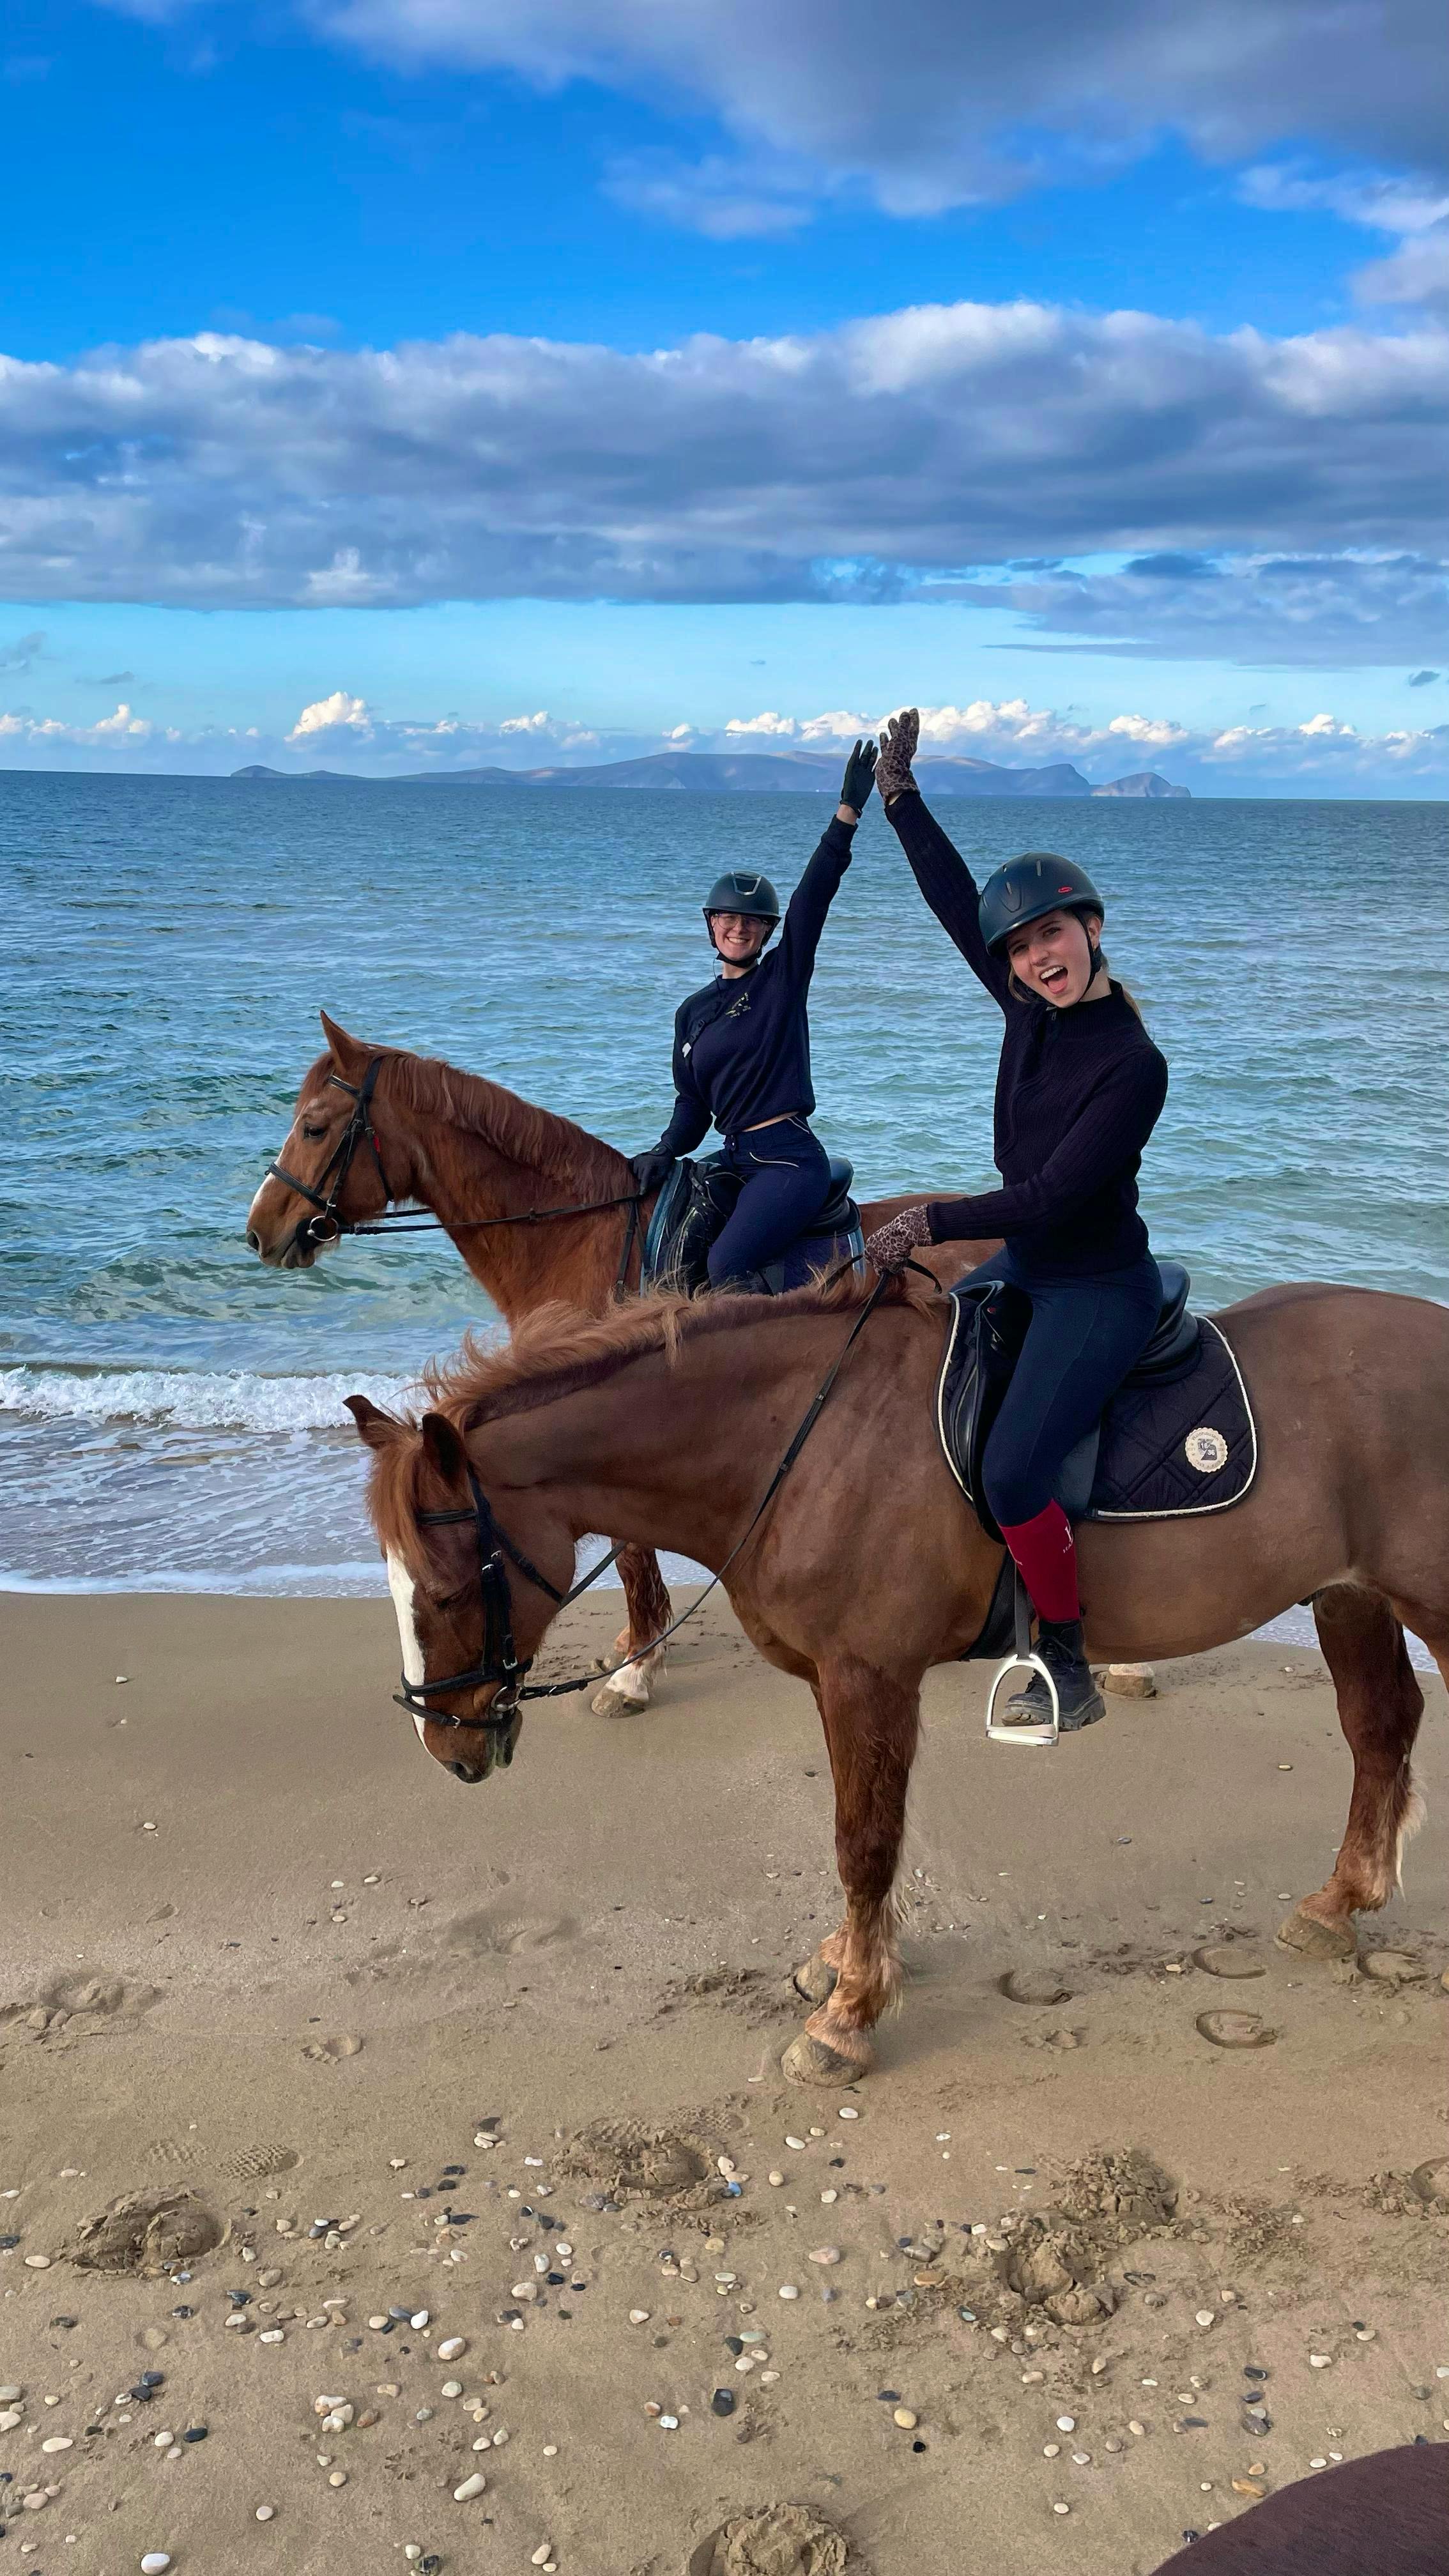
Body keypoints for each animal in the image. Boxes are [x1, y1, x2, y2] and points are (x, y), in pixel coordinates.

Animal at [246, 1012, 999, 1715]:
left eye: (314, 1127)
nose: (259, 1230)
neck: (579, 1235)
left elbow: (632, 1549)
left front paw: (637, 1670)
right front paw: (636, 1646)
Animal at [344, 1270, 1449, 2088]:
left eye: (446, 1589)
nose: (448, 1747)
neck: (803, 1440)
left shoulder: (868, 1676)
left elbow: (864, 1841)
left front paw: (848, 2018)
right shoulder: (841, 1681)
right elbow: (854, 1835)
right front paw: (844, 1964)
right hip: (1349, 1594)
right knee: (1379, 1726)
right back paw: (1337, 1905)